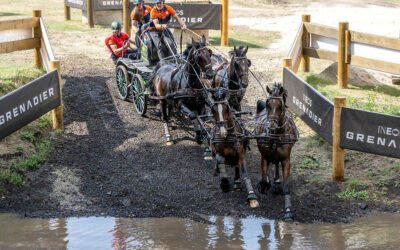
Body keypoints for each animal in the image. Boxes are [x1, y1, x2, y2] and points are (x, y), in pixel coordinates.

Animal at [256, 83, 296, 220]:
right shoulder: (264, 157)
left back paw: (277, 181)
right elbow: (264, 180)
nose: (271, 126)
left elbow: (286, 187)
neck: (276, 136)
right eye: (268, 104)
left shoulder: (286, 160)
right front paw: (264, 185)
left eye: (280, 106)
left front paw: (288, 211)